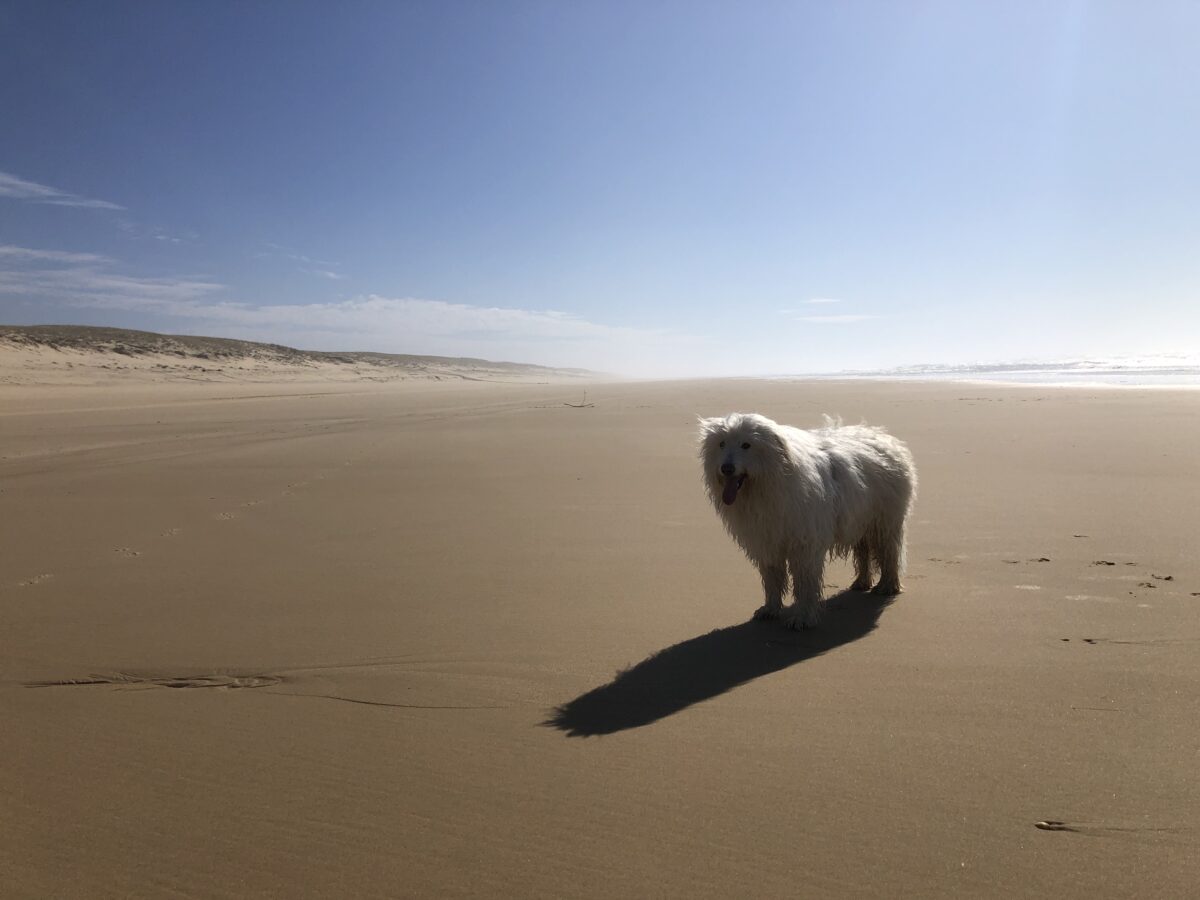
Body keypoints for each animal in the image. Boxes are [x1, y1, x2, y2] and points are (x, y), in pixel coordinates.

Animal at [700, 415, 912, 628]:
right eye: (721, 443)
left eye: (746, 445)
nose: (726, 468)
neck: (770, 484)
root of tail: (886, 438)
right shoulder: (768, 542)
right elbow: (772, 579)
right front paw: (770, 609)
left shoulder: (805, 544)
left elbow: (804, 582)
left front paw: (802, 617)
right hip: (859, 522)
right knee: (864, 551)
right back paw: (862, 581)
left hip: (884, 522)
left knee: (889, 553)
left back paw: (888, 585)